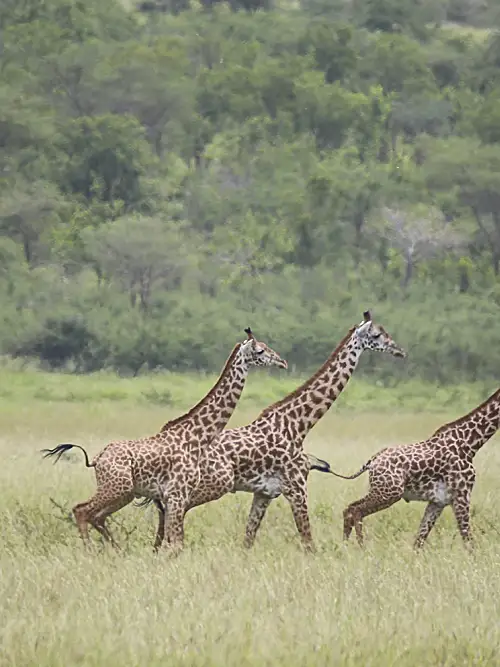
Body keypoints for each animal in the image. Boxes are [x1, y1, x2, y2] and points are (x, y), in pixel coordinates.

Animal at [42, 328, 290, 552]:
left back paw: (116, 551)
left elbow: (172, 542)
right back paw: (91, 552)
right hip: (116, 488)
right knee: (81, 510)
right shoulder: (177, 495)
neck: (197, 438)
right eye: (260, 350)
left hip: (124, 493)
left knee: (95, 515)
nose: (283, 362)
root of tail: (98, 458)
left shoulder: (175, 498)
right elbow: (176, 544)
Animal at [151, 314, 406, 552]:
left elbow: (248, 539)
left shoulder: (265, 493)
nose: (400, 351)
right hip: (206, 486)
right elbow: (308, 543)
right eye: (376, 335)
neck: (298, 425)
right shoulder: (297, 488)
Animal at [334, 386, 500, 548]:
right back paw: (361, 548)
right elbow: (469, 541)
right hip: (389, 493)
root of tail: (373, 461)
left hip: (383, 491)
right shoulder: (461, 495)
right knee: (355, 509)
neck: (469, 444)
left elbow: (419, 541)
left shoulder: (438, 502)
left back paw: (346, 547)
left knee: (348, 509)